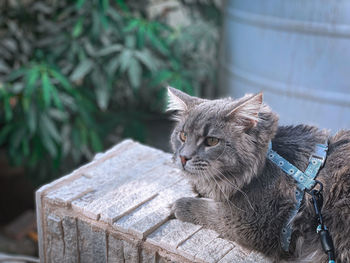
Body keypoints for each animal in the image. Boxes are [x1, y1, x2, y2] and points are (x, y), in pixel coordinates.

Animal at [167, 87, 350, 262]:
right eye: (182, 136)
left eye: (212, 141)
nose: (183, 157)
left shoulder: (250, 223)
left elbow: (209, 210)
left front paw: (179, 205)